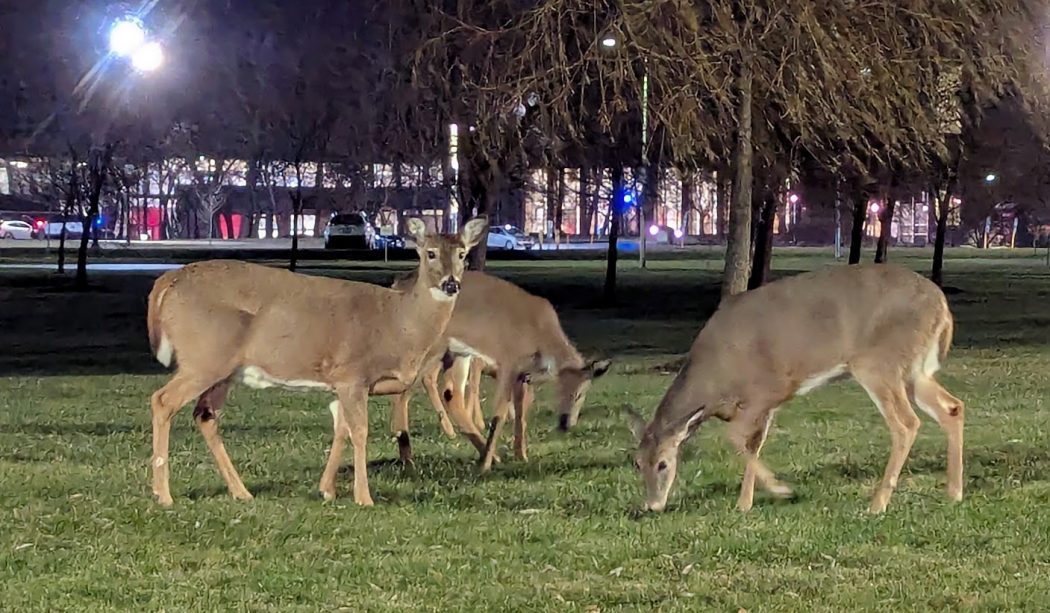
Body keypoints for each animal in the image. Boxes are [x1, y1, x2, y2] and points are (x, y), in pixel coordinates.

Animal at [144, 215, 487, 508]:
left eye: (462, 254)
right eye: (430, 253)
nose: (451, 284)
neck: (398, 323)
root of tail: (167, 281)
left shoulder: (339, 384)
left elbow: (341, 429)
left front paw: (327, 490)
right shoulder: (352, 373)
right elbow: (360, 431)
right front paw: (363, 497)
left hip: (223, 369)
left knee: (205, 415)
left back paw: (241, 492)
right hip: (204, 357)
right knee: (163, 400)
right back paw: (163, 494)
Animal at [377, 270, 613, 466]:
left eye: (581, 393)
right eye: (560, 389)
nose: (565, 423)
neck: (542, 337)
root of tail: (397, 283)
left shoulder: (523, 374)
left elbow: (521, 415)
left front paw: (521, 455)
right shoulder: (507, 362)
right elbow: (499, 415)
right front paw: (486, 466)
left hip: (457, 353)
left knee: (450, 393)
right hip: (431, 349)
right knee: (405, 392)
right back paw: (408, 457)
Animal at [625, 263, 961, 512]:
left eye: (663, 464)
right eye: (637, 463)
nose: (652, 506)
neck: (715, 380)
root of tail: (942, 306)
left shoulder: (768, 389)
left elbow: (736, 438)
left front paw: (781, 489)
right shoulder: (763, 406)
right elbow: (753, 444)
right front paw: (744, 504)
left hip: (879, 364)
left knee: (906, 423)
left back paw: (878, 504)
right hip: (916, 370)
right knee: (953, 407)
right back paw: (954, 492)